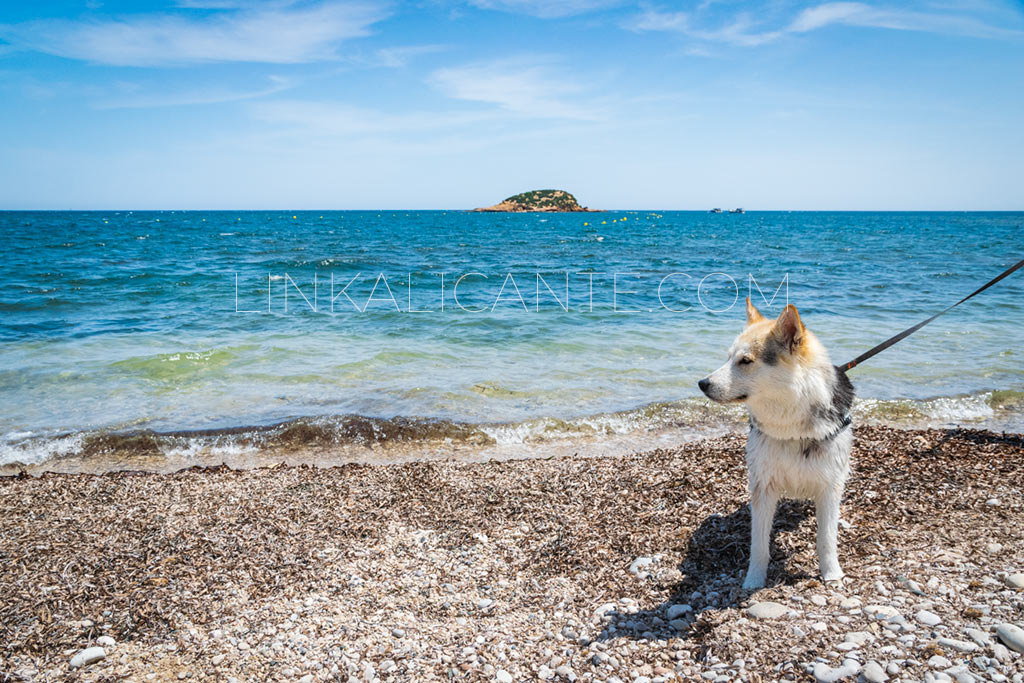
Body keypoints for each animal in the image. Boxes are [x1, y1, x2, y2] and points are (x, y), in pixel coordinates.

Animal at [696, 299, 856, 593]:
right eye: (728, 357)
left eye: (745, 361)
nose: (703, 384)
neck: (791, 430)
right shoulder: (764, 485)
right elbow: (758, 543)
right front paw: (754, 579)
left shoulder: (829, 485)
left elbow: (826, 538)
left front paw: (832, 574)